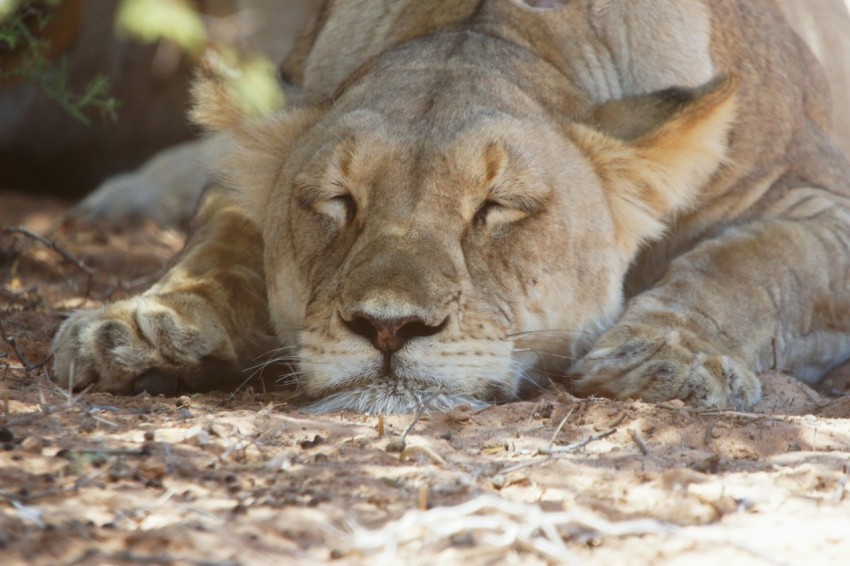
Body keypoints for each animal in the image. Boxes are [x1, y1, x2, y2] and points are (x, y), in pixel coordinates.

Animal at [51, 0, 850, 414]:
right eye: (338, 201)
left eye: (498, 207)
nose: (389, 328)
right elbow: (217, 245)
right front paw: (142, 324)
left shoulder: (815, 195)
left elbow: (757, 261)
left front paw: (667, 355)